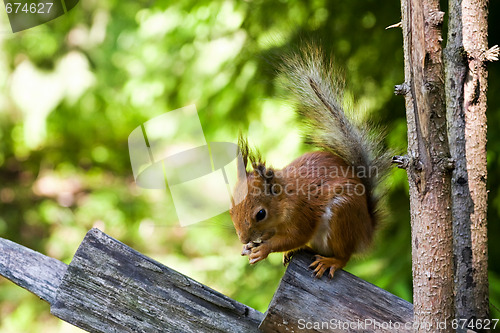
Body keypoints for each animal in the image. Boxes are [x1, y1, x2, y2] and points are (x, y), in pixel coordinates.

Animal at [230, 44, 390, 278]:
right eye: (231, 210)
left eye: (260, 214)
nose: (243, 238)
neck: (284, 198)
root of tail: (366, 232)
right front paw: (249, 247)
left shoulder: (302, 213)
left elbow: (295, 236)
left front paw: (263, 250)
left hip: (342, 216)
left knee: (344, 256)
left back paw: (330, 262)